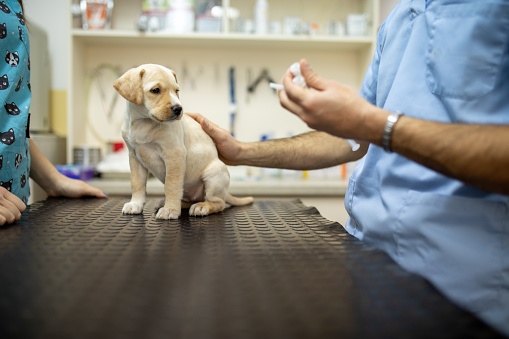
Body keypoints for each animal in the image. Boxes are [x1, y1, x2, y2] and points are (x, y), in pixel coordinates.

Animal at [113, 64, 252, 220]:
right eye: (155, 90)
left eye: (176, 90)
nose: (178, 109)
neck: (143, 123)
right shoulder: (135, 157)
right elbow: (137, 183)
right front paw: (135, 204)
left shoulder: (174, 154)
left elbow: (171, 185)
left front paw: (170, 210)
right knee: (186, 199)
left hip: (214, 175)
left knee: (218, 203)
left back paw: (201, 207)